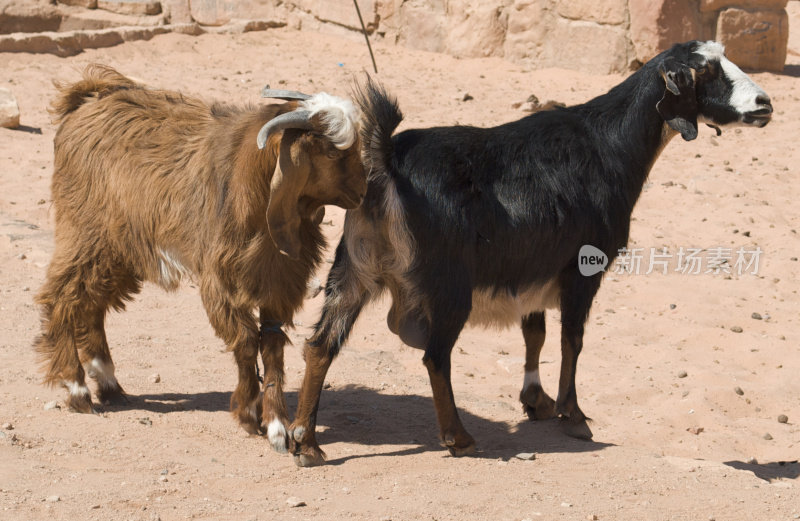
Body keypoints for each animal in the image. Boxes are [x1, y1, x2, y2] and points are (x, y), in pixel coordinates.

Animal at [34, 63, 366, 448]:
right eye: (332, 153)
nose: (363, 190)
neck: (249, 180)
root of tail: (87, 101)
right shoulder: (223, 280)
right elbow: (245, 341)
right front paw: (249, 415)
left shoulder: (277, 278)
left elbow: (272, 345)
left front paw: (277, 425)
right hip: (85, 234)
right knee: (62, 296)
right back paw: (76, 389)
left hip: (118, 249)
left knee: (91, 305)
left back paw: (109, 384)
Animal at [284, 39, 772, 464]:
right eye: (705, 70)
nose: (765, 103)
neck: (608, 144)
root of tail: (386, 159)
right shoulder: (581, 269)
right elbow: (572, 338)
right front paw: (573, 415)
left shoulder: (532, 265)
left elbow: (534, 331)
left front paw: (536, 400)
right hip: (449, 285)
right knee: (435, 355)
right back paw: (458, 437)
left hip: (353, 270)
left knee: (320, 346)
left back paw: (306, 443)